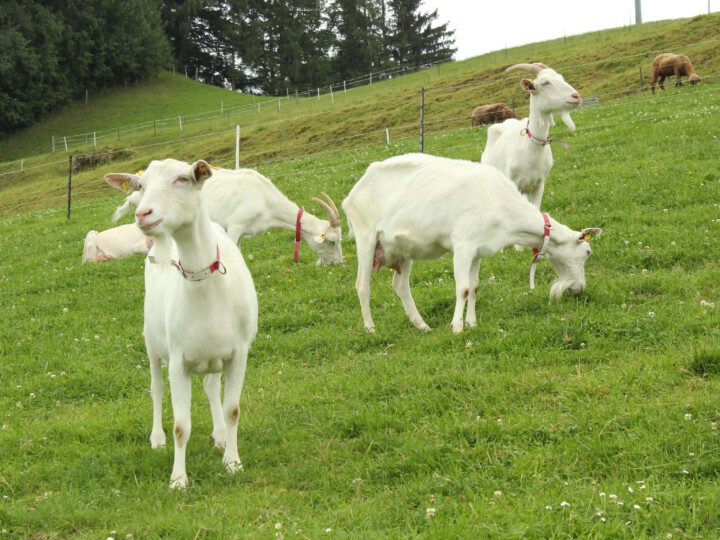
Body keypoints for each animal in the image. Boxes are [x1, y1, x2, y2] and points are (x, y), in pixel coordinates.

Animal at [106, 159, 258, 489]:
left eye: (182, 179)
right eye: (141, 185)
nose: (143, 214)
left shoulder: (238, 353)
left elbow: (232, 409)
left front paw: (232, 461)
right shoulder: (178, 361)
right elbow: (180, 425)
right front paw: (178, 478)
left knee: (211, 386)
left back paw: (220, 436)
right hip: (152, 345)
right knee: (156, 389)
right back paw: (157, 438)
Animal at [342, 153, 601, 334]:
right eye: (587, 251)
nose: (580, 288)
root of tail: (351, 195)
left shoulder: (478, 250)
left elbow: (475, 287)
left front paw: (472, 323)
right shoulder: (463, 246)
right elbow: (463, 288)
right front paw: (457, 327)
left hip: (402, 250)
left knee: (400, 285)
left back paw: (422, 325)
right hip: (366, 238)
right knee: (362, 285)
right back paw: (371, 328)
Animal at [481, 62, 581, 209]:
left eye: (561, 77)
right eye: (545, 83)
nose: (576, 96)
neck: (531, 149)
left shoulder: (539, 184)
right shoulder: (513, 183)